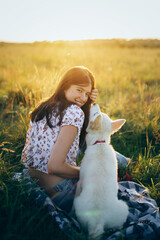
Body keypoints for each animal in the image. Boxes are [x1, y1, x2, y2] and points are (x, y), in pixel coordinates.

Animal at [74, 103, 129, 238]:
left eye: (94, 114)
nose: (94, 103)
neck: (100, 143)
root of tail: (97, 222)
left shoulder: (80, 179)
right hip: (123, 209)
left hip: (77, 202)